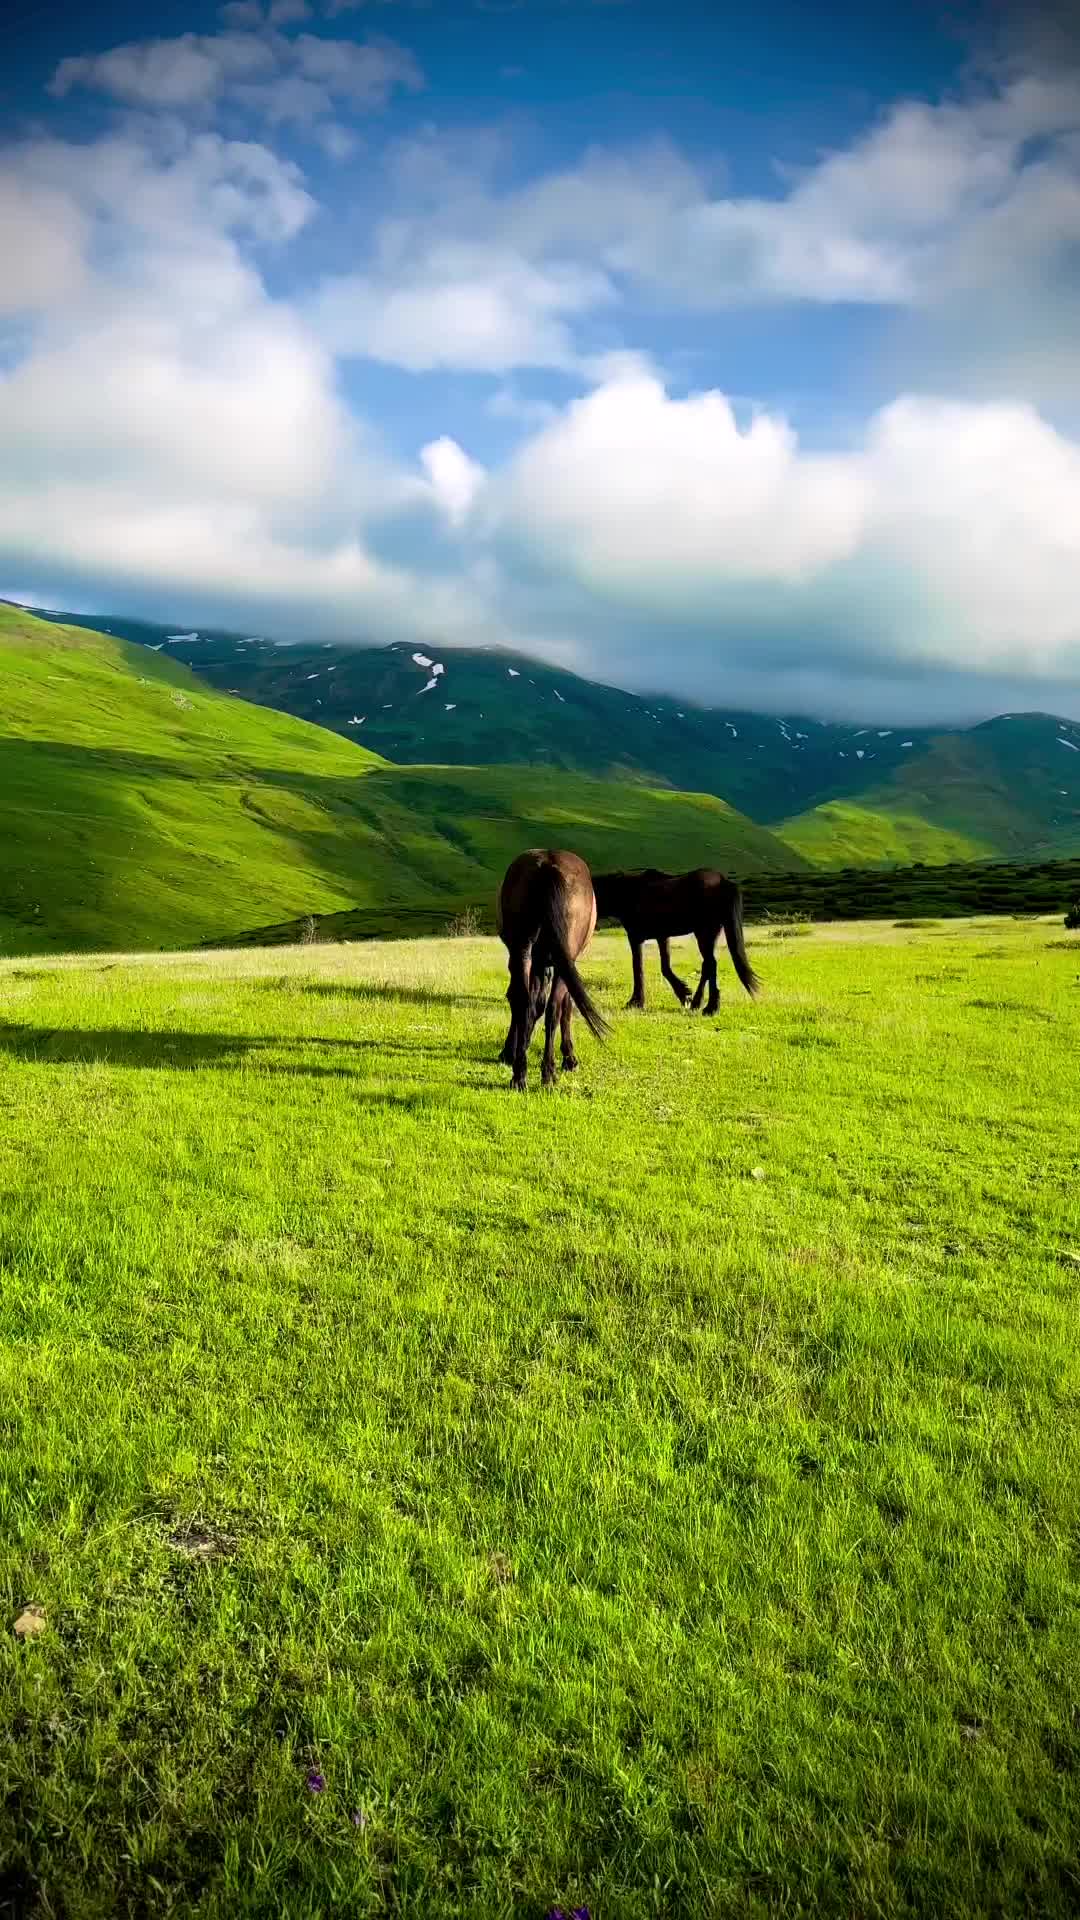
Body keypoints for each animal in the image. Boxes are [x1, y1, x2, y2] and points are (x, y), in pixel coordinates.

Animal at [495, 848, 607, 1090]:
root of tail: (547, 864)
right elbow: (565, 1006)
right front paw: (569, 1057)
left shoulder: (539, 963)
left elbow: (534, 1004)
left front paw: (517, 1047)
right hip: (564, 958)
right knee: (554, 1007)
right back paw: (548, 1073)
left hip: (522, 950)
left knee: (522, 1000)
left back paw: (519, 1074)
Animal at [588, 871, 757, 1021]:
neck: (630, 893)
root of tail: (723, 881)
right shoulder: (662, 936)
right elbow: (665, 967)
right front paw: (684, 995)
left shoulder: (635, 937)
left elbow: (638, 968)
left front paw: (636, 1002)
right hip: (710, 935)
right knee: (707, 966)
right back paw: (698, 1003)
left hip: (704, 933)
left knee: (710, 964)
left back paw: (710, 1007)